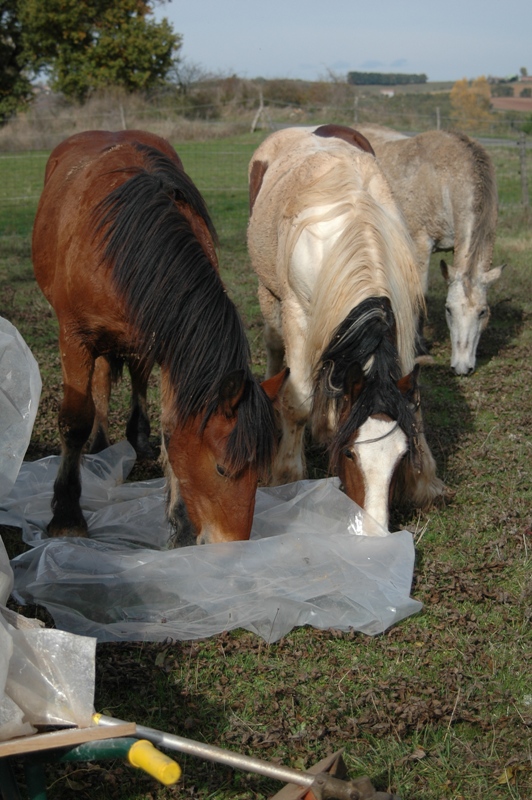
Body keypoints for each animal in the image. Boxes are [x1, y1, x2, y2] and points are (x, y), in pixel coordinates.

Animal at [33, 128, 286, 548]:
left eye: (260, 471)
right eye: (222, 468)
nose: (232, 546)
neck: (123, 245)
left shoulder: (171, 346)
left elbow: (172, 426)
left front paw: (180, 527)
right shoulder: (74, 338)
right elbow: (74, 421)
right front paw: (67, 516)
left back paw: (136, 438)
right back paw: (100, 446)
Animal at [247, 125, 446, 532]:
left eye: (401, 457)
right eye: (351, 455)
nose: (374, 529)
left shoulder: (401, 319)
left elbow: (413, 405)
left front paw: (426, 482)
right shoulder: (298, 316)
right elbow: (299, 402)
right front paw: (287, 475)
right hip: (270, 294)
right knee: (276, 348)